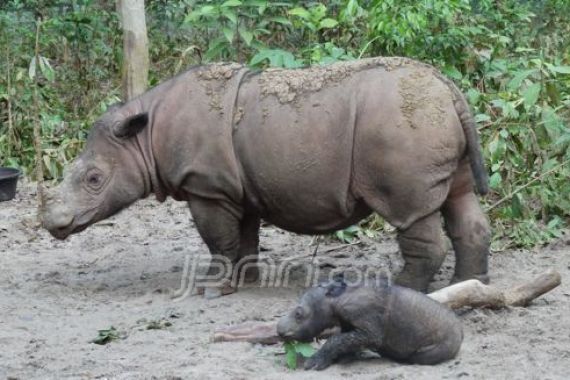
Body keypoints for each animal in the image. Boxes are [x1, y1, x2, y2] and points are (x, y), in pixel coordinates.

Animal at [43, 57, 488, 296]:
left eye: (94, 179)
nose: (53, 225)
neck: (144, 136)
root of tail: (449, 90)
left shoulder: (205, 186)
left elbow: (218, 240)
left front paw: (211, 288)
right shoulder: (233, 187)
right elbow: (244, 236)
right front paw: (248, 280)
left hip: (403, 127)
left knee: (410, 211)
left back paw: (400, 288)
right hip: (430, 120)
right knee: (460, 200)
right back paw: (468, 285)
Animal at [276, 276, 462, 372]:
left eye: (299, 314)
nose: (279, 331)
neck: (335, 299)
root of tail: (462, 336)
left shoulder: (370, 330)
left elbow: (335, 340)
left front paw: (315, 363)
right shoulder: (349, 324)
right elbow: (343, 340)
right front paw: (345, 358)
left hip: (443, 344)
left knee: (419, 357)